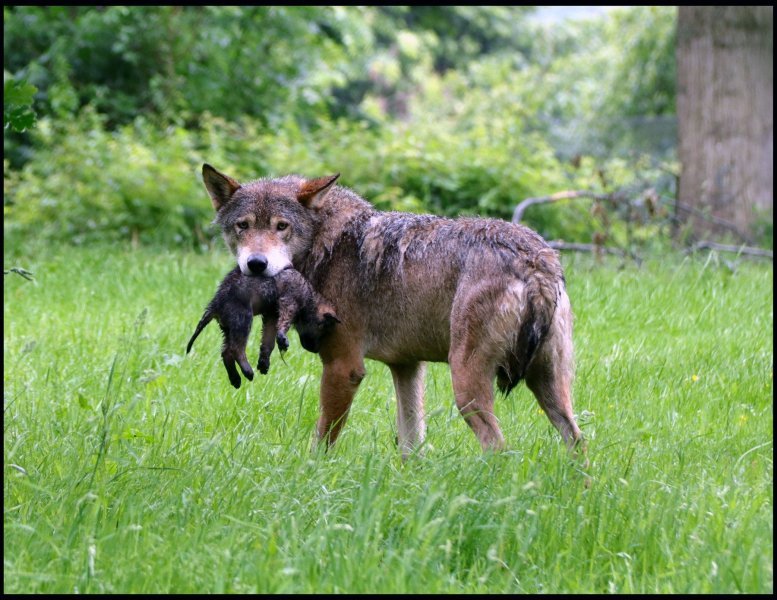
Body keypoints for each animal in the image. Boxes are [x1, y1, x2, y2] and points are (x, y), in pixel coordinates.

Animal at [203, 164, 584, 460]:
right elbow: (411, 446)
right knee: (578, 442)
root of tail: (537, 262)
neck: (331, 245)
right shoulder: (407, 367)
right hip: (549, 387)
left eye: (282, 226)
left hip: (466, 387)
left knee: (498, 448)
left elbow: (322, 443)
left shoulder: (344, 368)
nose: (255, 264)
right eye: (243, 226)